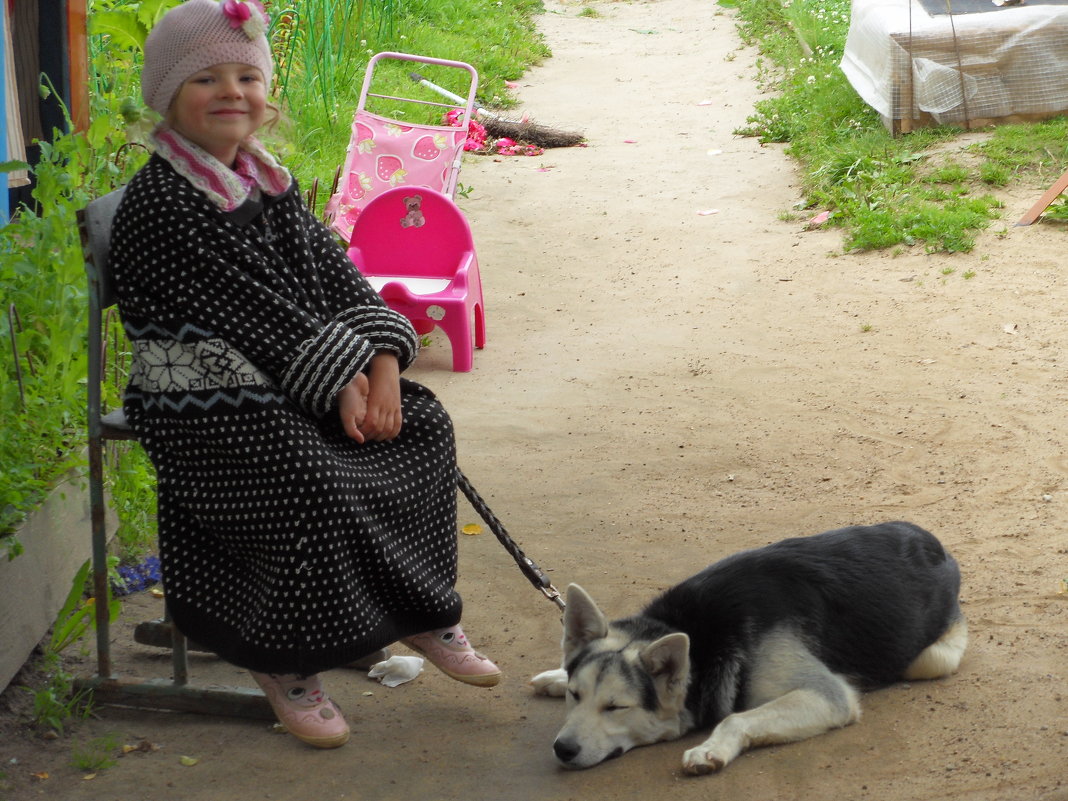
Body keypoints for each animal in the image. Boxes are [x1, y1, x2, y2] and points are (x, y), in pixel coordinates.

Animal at [531, 523, 969, 773]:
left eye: (616, 708)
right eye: (575, 697)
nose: (563, 749)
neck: (699, 639)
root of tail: (937, 546)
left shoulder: (828, 696)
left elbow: (736, 719)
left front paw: (711, 750)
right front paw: (557, 675)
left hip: (930, 659)